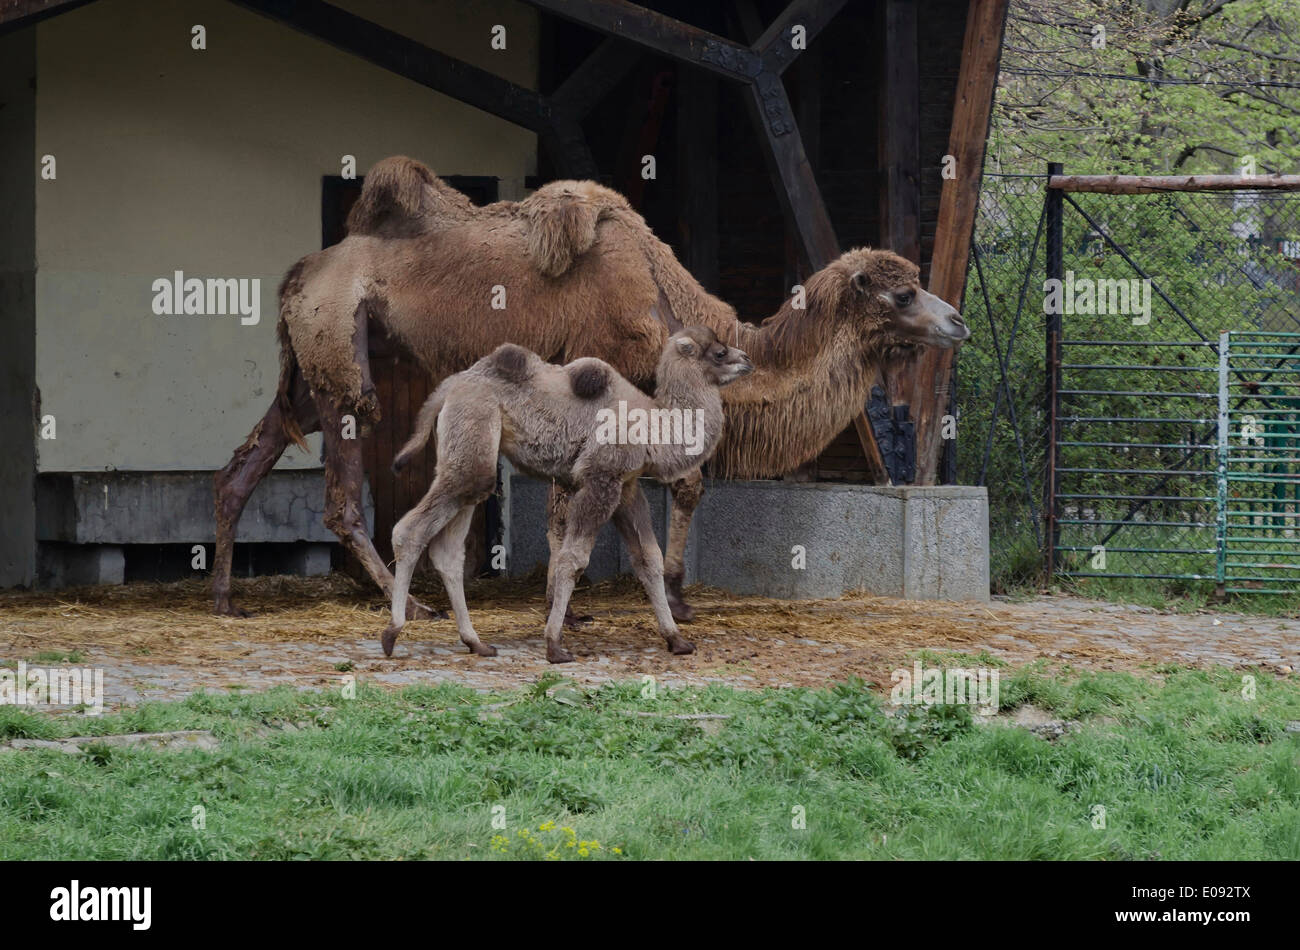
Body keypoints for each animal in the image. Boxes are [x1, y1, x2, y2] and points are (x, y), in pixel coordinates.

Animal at [212, 156, 970, 622]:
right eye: (904, 293)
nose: (957, 321)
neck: (664, 302)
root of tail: (300, 272)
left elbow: (680, 484)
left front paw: (663, 594)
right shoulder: (598, 380)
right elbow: (597, 498)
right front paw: (597, 602)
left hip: (315, 368)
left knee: (243, 465)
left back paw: (223, 597)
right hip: (341, 360)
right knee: (341, 493)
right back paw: (417, 604)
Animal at [382, 325, 752, 662]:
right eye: (719, 352)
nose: (747, 359)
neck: (651, 426)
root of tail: (449, 387)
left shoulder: (627, 487)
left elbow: (649, 560)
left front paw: (677, 639)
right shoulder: (600, 479)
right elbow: (572, 558)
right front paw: (554, 645)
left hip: (471, 459)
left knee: (449, 549)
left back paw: (476, 643)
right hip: (473, 438)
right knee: (409, 530)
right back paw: (392, 632)